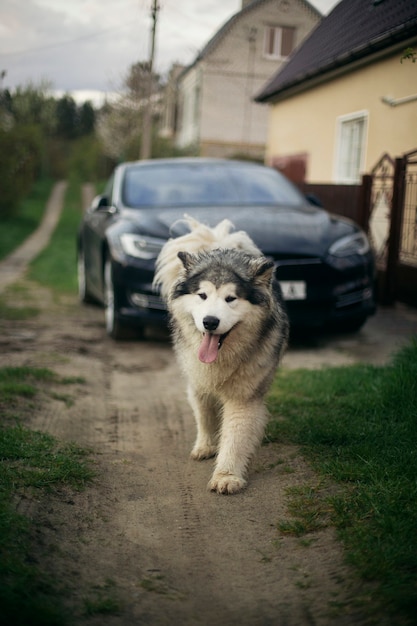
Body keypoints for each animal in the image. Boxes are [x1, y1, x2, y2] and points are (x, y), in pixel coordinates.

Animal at [154, 216, 290, 492]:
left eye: (230, 299)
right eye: (202, 295)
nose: (210, 322)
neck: (223, 358)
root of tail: (221, 245)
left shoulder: (244, 396)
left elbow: (235, 436)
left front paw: (226, 475)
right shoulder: (198, 380)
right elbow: (204, 414)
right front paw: (206, 446)